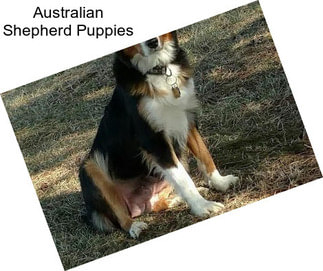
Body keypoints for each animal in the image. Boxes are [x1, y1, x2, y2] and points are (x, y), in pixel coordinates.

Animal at [79, 31, 239, 238]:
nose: (152, 42)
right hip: (91, 166)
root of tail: (136, 206)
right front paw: (203, 206)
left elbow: (204, 155)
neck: (159, 70)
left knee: (154, 204)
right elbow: (183, 180)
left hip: (177, 158)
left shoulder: (186, 119)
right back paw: (134, 226)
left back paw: (175, 200)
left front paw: (220, 182)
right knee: (121, 216)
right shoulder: (154, 140)